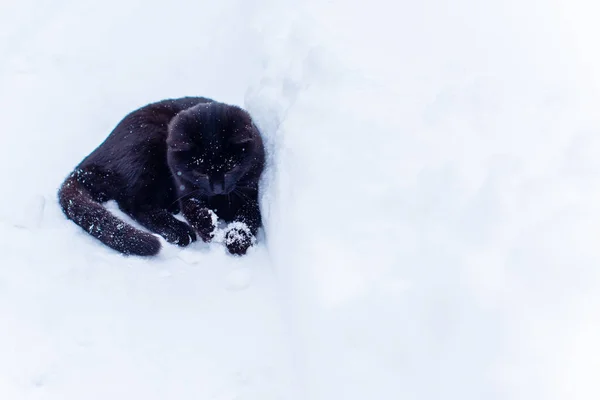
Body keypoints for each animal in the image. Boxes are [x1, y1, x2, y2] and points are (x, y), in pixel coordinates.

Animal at [58, 98, 264, 258]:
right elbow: (192, 207)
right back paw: (178, 231)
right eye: (201, 173)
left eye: (231, 169)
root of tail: (87, 164)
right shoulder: (184, 188)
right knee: (134, 204)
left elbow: (248, 217)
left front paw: (238, 239)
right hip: (146, 149)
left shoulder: (251, 192)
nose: (218, 189)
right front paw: (207, 226)